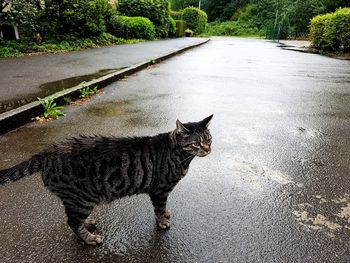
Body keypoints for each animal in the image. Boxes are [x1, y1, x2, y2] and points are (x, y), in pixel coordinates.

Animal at [0, 115, 212, 245]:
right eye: (196, 143)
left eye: (209, 139)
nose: (208, 149)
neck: (180, 155)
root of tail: (47, 151)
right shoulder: (159, 190)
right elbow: (159, 208)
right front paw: (162, 221)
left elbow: (163, 208)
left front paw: (166, 214)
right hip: (82, 198)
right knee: (72, 221)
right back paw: (90, 238)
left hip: (76, 200)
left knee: (73, 218)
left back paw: (87, 223)